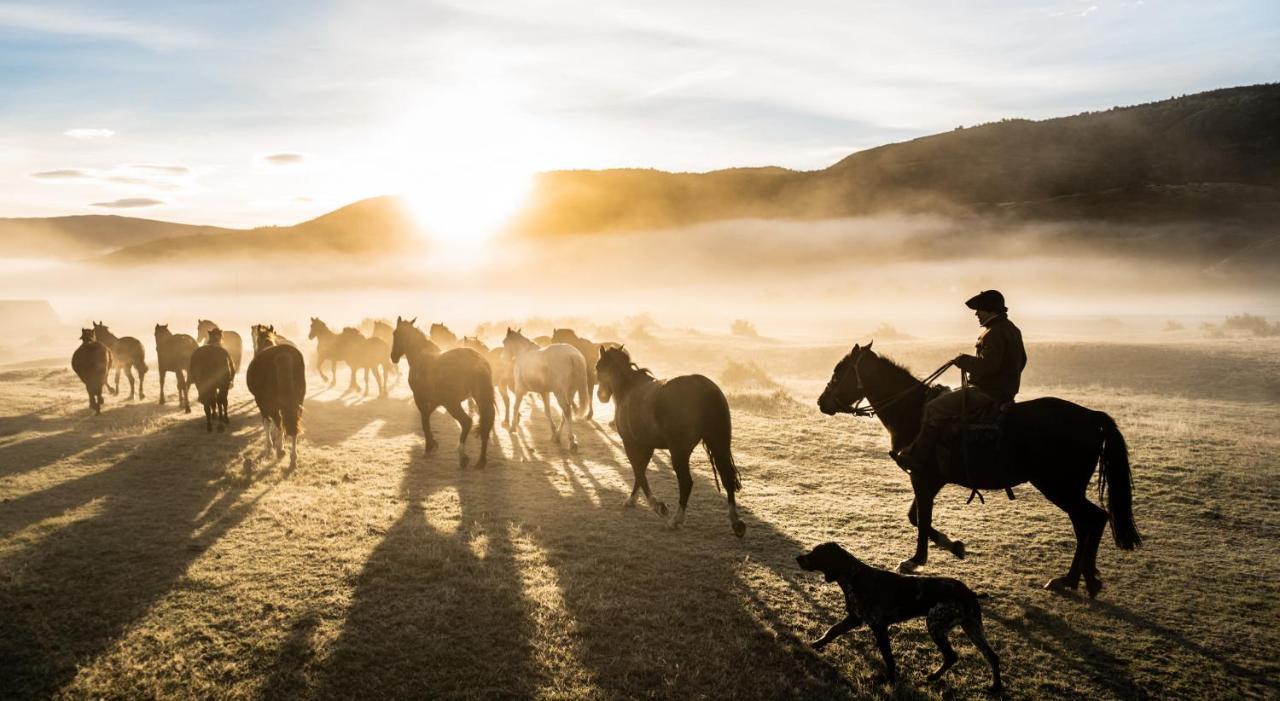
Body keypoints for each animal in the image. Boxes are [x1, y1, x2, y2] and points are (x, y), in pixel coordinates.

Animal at [245, 326, 305, 468]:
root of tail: (282, 354)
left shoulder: (261, 403)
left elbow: (267, 423)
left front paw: (269, 446)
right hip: (298, 402)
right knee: (292, 425)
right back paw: (293, 457)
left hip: (269, 403)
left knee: (278, 422)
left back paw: (280, 450)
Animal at [389, 317, 494, 465]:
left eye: (395, 333)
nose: (393, 356)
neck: (420, 357)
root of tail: (478, 360)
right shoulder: (435, 401)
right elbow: (427, 417)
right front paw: (433, 443)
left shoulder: (420, 399)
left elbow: (424, 421)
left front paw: (429, 447)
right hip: (478, 399)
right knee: (485, 425)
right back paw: (481, 461)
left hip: (452, 403)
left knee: (466, 422)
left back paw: (462, 456)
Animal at [593, 345, 747, 537]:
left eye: (598, 367)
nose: (601, 396)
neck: (628, 389)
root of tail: (703, 387)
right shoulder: (647, 445)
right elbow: (640, 472)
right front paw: (632, 499)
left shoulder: (631, 443)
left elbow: (638, 471)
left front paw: (657, 506)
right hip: (718, 444)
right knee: (726, 478)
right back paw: (736, 522)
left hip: (679, 451)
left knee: (686, 482)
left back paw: (675, 520)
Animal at [798, 542, 998, 690]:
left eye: (816, 553)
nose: (798, 558)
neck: (854, 576)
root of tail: (970, 593)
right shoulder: (854, 618)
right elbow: (832, 631)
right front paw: (816, 644)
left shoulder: (879, 626)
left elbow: (888, 656)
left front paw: (890, 679)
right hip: (971, 627)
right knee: (992, 656)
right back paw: (996, 686)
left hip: (936, 624)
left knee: (952, 656)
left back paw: (934, 677)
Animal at [819, 342, 1141, 593]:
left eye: (838, 372)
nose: (822, 402)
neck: (914, 411)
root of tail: (1092, 417)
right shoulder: (930, 481)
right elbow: (916, 517)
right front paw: (953, 546)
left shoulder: (922, 478)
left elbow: (921, 520)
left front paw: (915, 560)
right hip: (1066, 488)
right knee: (1087, 522)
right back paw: (1080, 579)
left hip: (1059, 486)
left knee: (1092, 519)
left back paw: (1075, 579)